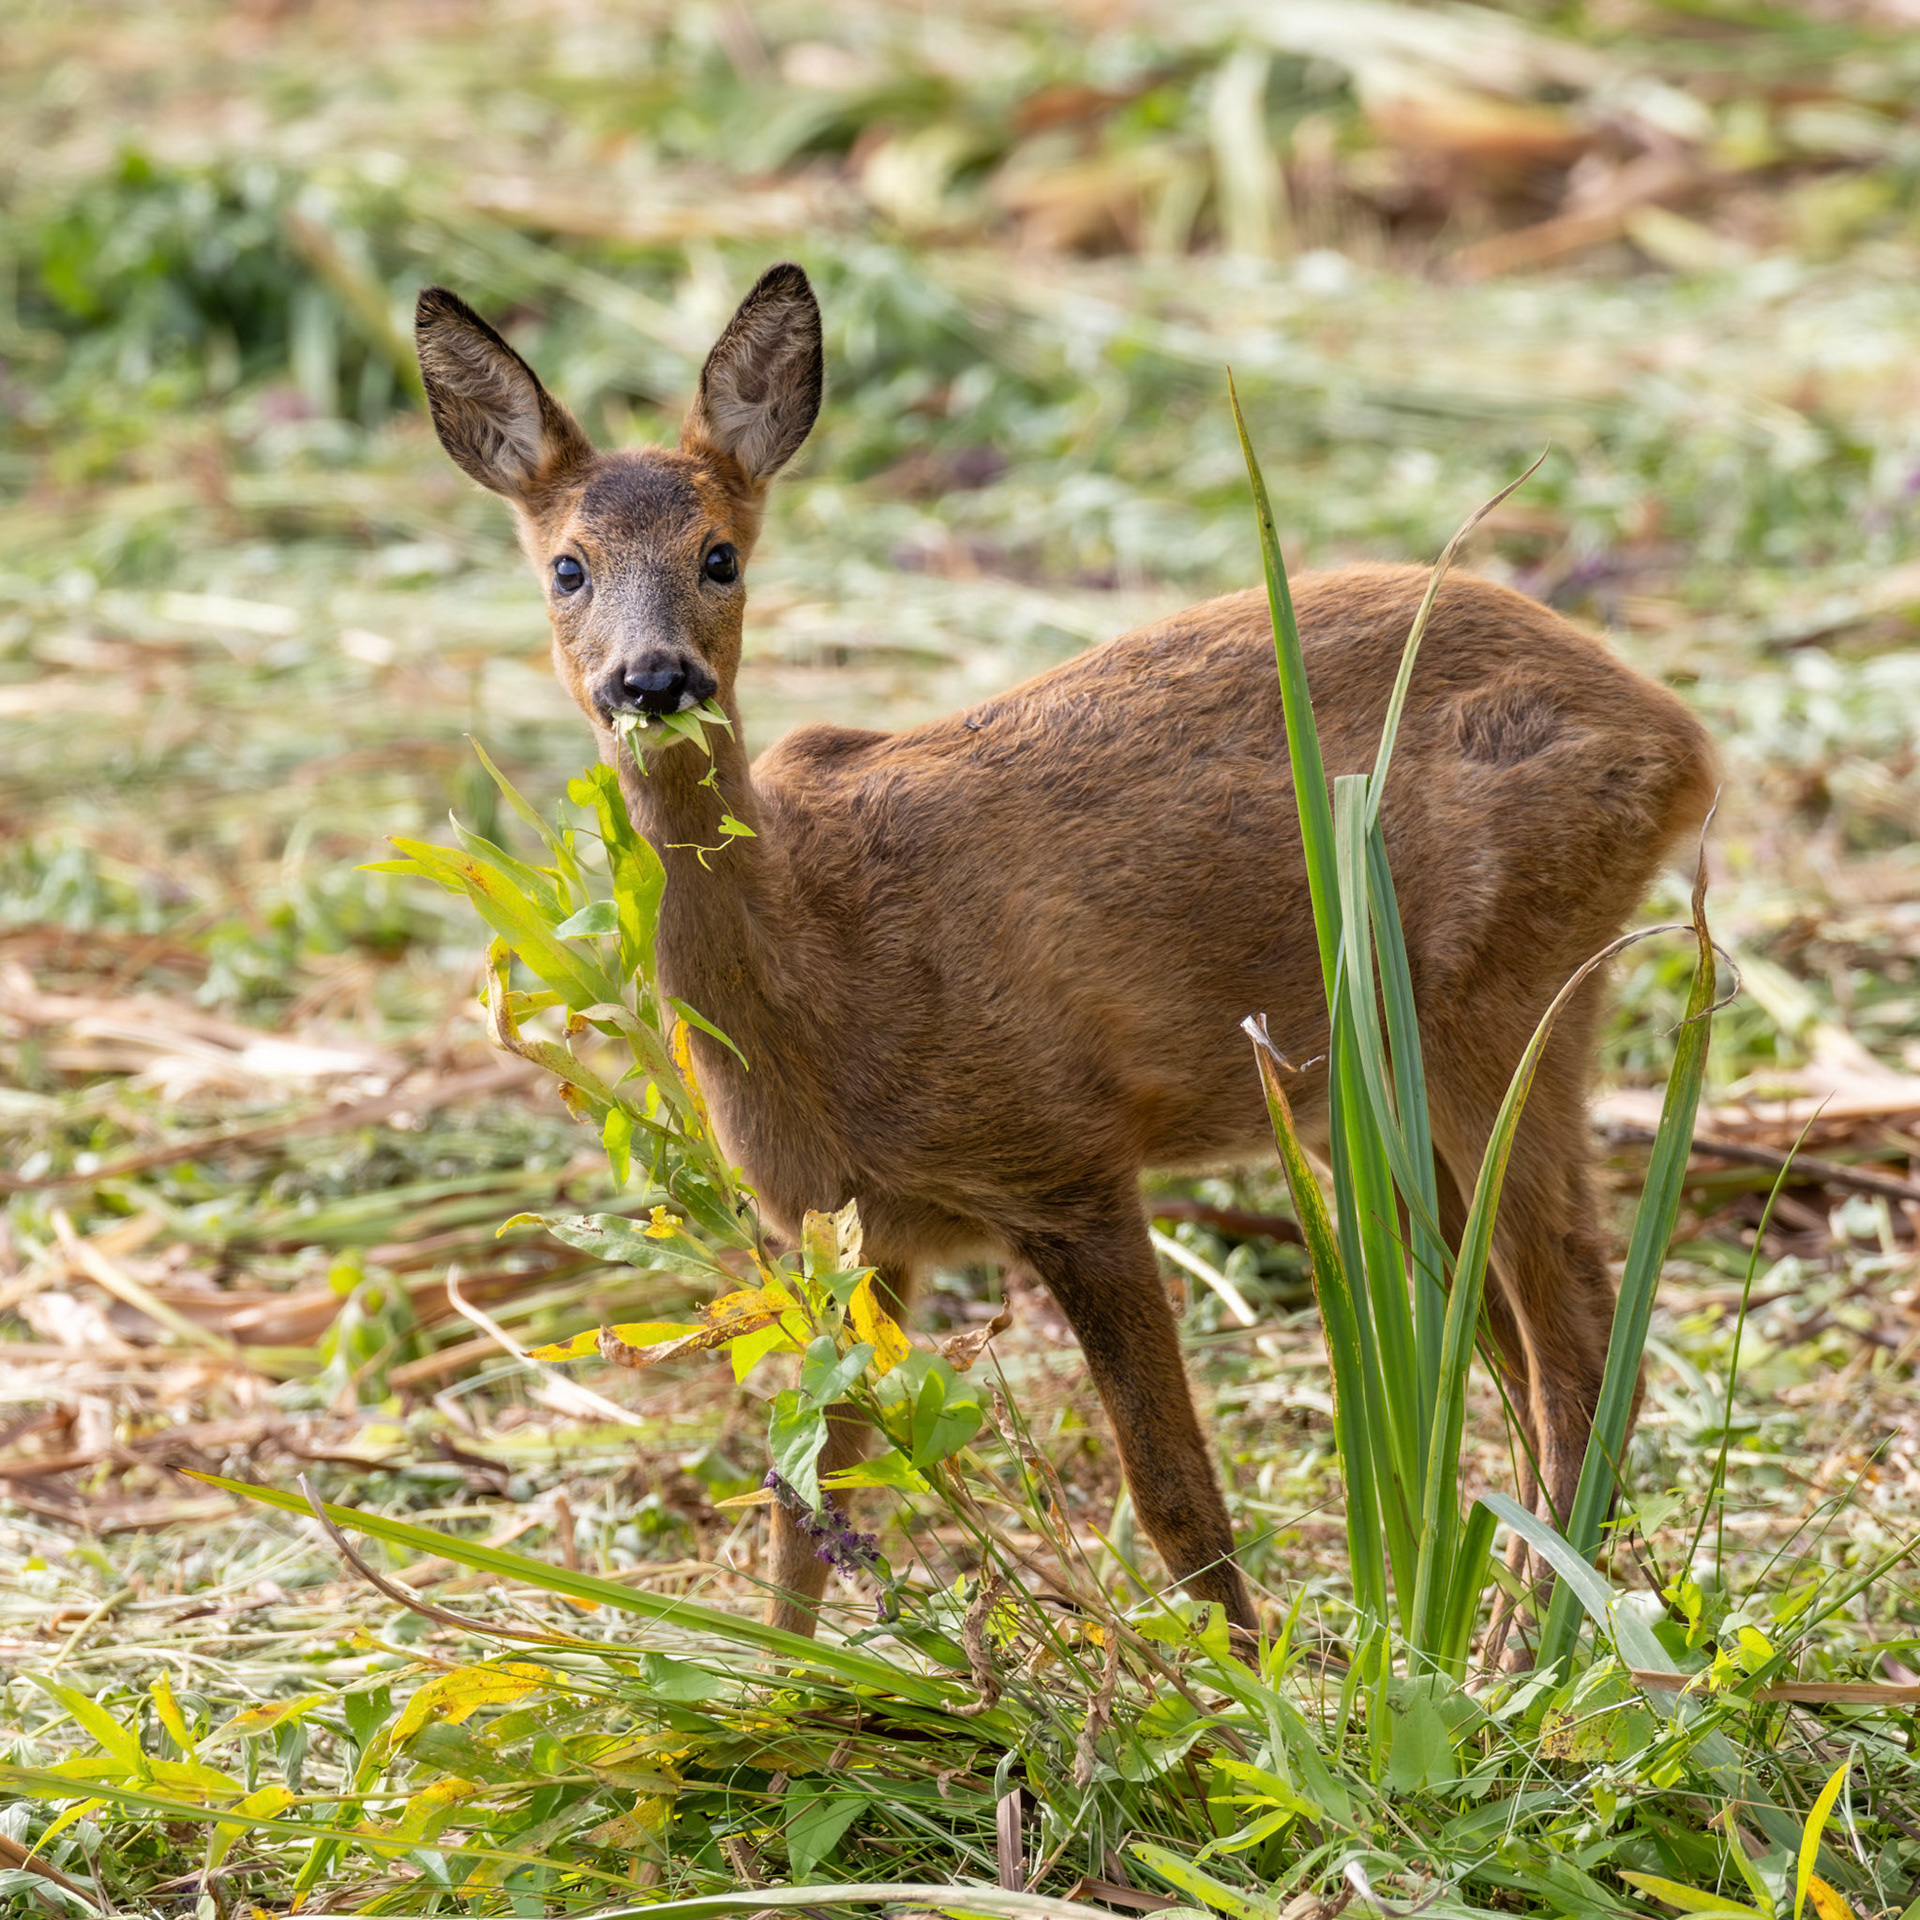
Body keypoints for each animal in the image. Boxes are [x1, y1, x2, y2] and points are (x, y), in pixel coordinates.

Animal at [413, 263, 1717, 1640]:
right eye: (567, 566)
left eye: (719, 555)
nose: (652, 678)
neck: (823, 981)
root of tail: (1680, 738)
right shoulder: (850, 1229)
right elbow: (806, 1499)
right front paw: (778, 1681)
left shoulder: (1067, 1158)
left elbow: (1174, 1495)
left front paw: (1243, 1683)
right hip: (1368, 1091)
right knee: (1514, 1337)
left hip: (1503, 990)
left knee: (1578, 1328)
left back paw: (1531, 1640)